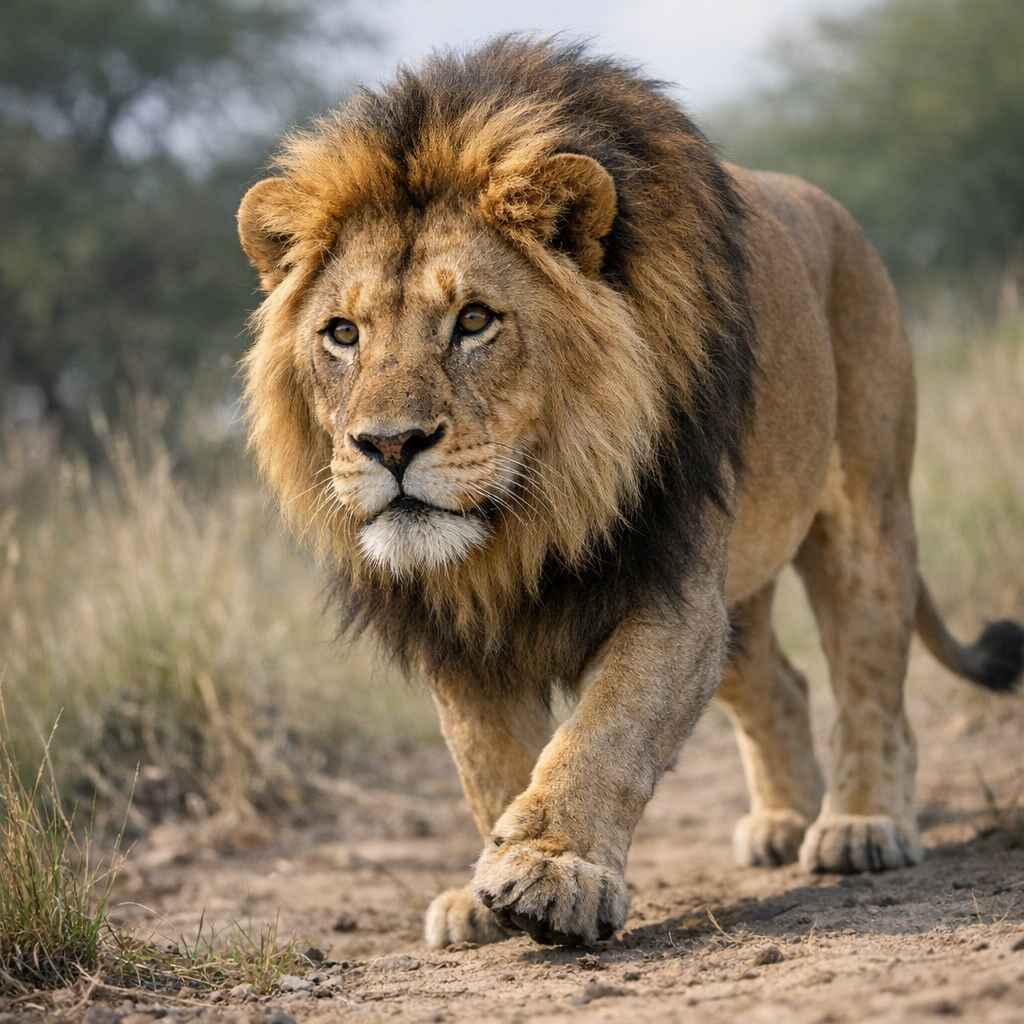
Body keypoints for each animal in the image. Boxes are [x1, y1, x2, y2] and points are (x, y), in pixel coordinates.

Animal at [237, 36, 1024, 949]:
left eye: (474, 320)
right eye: (342, 334)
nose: (390, 444)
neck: (528, 519)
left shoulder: (672, 579)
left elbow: (607, 728)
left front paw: (552, 870)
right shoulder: (458, 627)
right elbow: (487, 760)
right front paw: (481, 889)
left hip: (867, 511)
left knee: (870, 678)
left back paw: (861, 824)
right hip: (743, 586)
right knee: (781, 685)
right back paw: (783, 821)